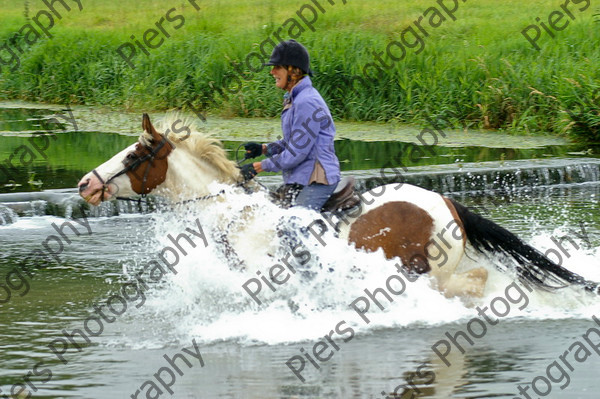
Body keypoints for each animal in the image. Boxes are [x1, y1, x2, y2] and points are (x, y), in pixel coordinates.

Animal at [77, 114, 596, 298]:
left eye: (134, 155)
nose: (85, 185)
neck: (233, 215)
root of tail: (446, 201)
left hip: (425, 268)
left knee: (468, 282)